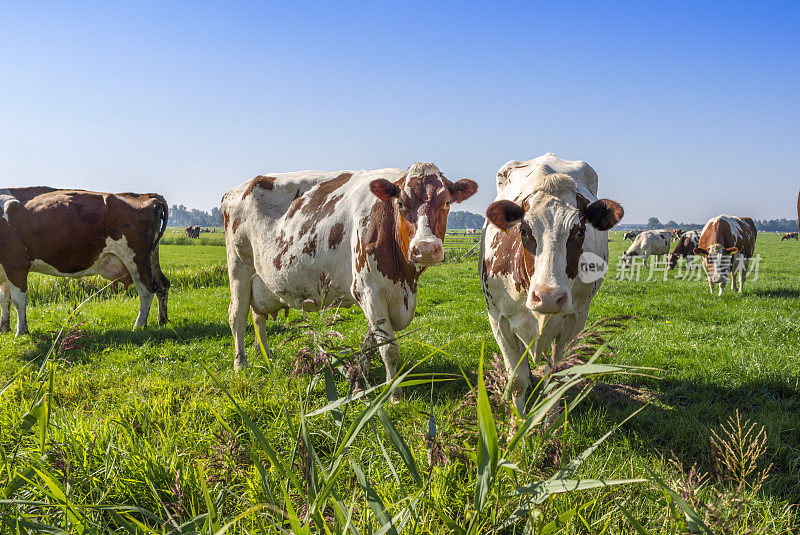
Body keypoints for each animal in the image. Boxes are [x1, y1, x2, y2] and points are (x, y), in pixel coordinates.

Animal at [0, 186, 170, 332]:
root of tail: (148, 196)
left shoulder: (16, 263)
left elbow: (18, 300)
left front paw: (21, 332)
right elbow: (4, 300)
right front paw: (4, 329)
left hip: (136, 260)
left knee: (147, 290)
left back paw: (139, 325)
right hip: (150, 259)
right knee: (162, 285)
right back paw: (162, 320)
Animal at [220, 163, 476, 394]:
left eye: (447, 202)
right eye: (401, 203)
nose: (425, 248)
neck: (404, 280)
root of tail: (235, 190)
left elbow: (372, 341)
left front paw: (361, 375)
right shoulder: (369, 290)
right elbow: (389, 348)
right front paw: (393, 393)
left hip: (260, 279)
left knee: (258, 316)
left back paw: (265, 354)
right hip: (239, 265)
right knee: (238, 315)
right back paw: (240, 364)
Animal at [478, 154, 620, 414]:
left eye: (580, 231)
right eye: (524, 230)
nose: (548, 297)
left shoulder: (574, 323)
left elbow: (554, 380)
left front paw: (547, 420)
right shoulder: (498, 321)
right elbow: (518, 380)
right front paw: (518, 422)